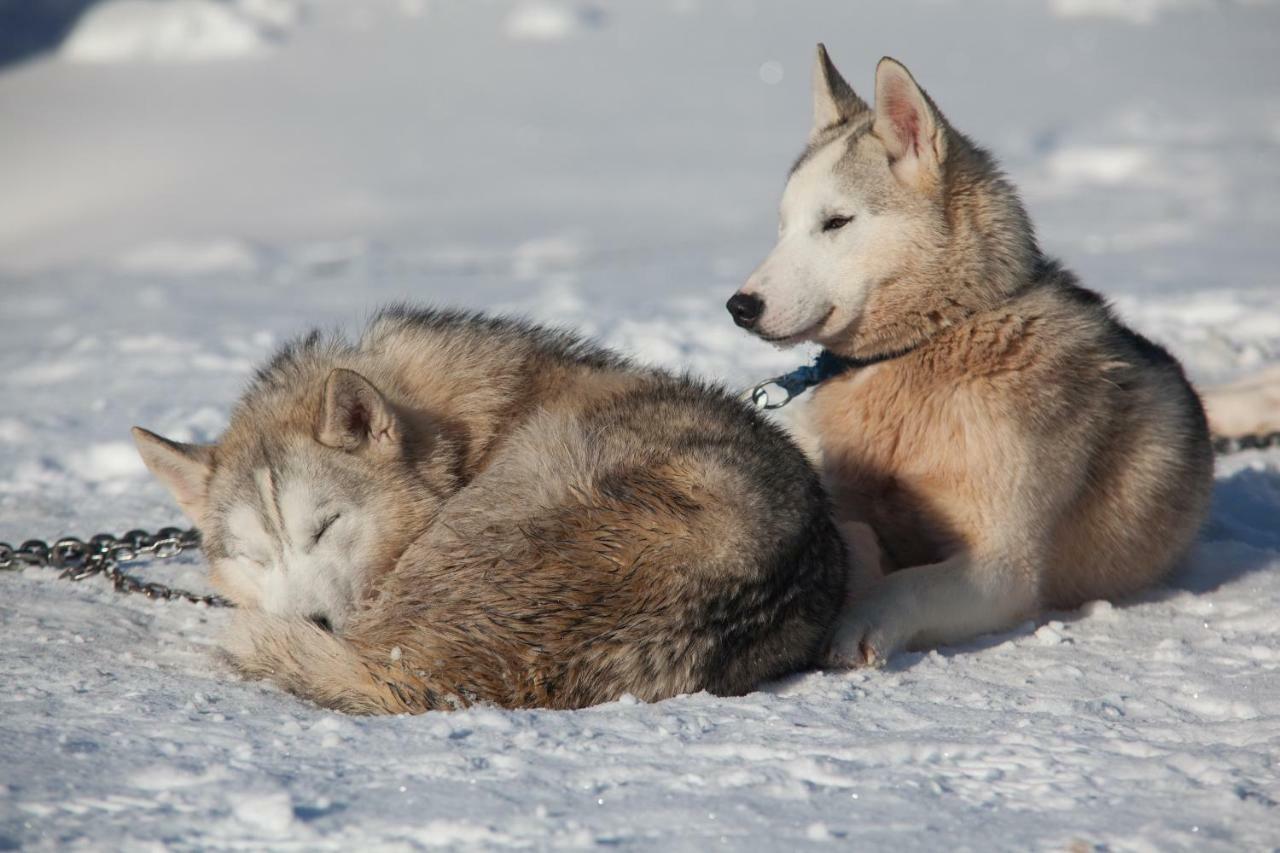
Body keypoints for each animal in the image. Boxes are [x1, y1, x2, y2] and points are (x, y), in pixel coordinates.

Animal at [727, 48, 1213, 666]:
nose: (740, 306)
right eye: (783, 227)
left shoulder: (1001, 567)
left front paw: (860, 620)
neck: (935, 341)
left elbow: (907, 582)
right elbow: (856, 534)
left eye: (835, 222)